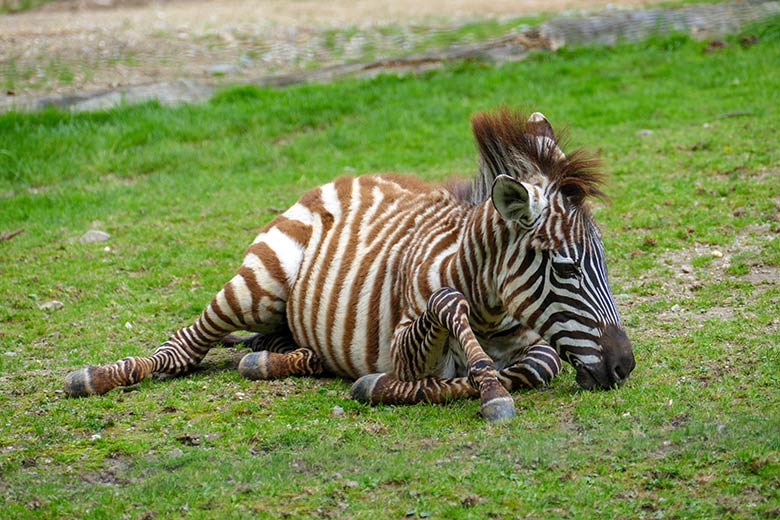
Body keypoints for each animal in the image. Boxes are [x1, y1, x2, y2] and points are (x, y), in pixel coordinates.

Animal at [62, 109, 632, 422]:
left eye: (603, 264)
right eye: (564, 270)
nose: (625, 365)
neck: (489, 306)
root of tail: (345, 177)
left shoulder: (535, 341)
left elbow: (537, 365)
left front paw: (484, 379)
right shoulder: (407, 348)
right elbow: (447, 309)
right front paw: (486, 388)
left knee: (282, 350)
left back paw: (278, 361)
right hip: (258, 282)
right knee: (182, 347)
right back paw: (98, 376)